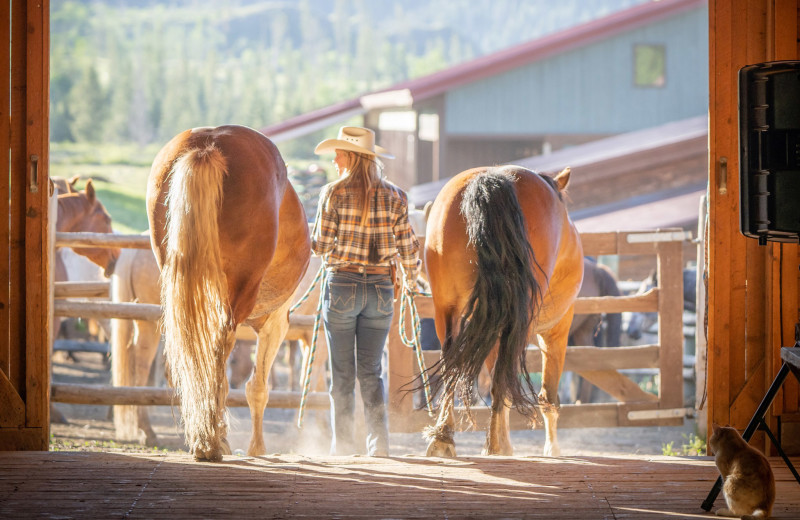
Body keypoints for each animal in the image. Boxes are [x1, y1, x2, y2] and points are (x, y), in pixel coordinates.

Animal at [144, 125, 310, 460]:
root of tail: (209, 143)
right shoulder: (276, 322)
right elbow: (257, 387)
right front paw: (257, 448)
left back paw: (207, 438)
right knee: (220, 350)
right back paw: (211, 441)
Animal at [424, 165, 580, 458]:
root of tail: (490, 180)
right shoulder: (557, 329)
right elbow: (547, 395)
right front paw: (551, 448)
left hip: (447, 312)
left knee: (452, 366)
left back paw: (444, 437)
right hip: (519, 321)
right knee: (504, 376)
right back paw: (496, 445)